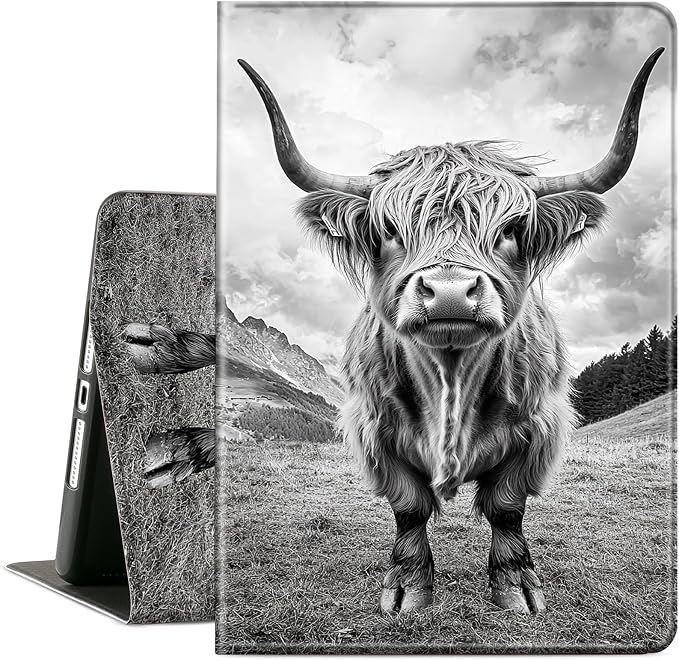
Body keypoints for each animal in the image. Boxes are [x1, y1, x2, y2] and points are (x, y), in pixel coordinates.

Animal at [235, 48, 663, 616]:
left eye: (511, 229)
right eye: (389, 230)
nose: (451, 292)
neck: (452, 378)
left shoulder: (537, 428)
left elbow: (506, 506)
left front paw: (514, 586)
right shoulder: (376, 432)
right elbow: (409, 506)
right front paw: (408, 587)